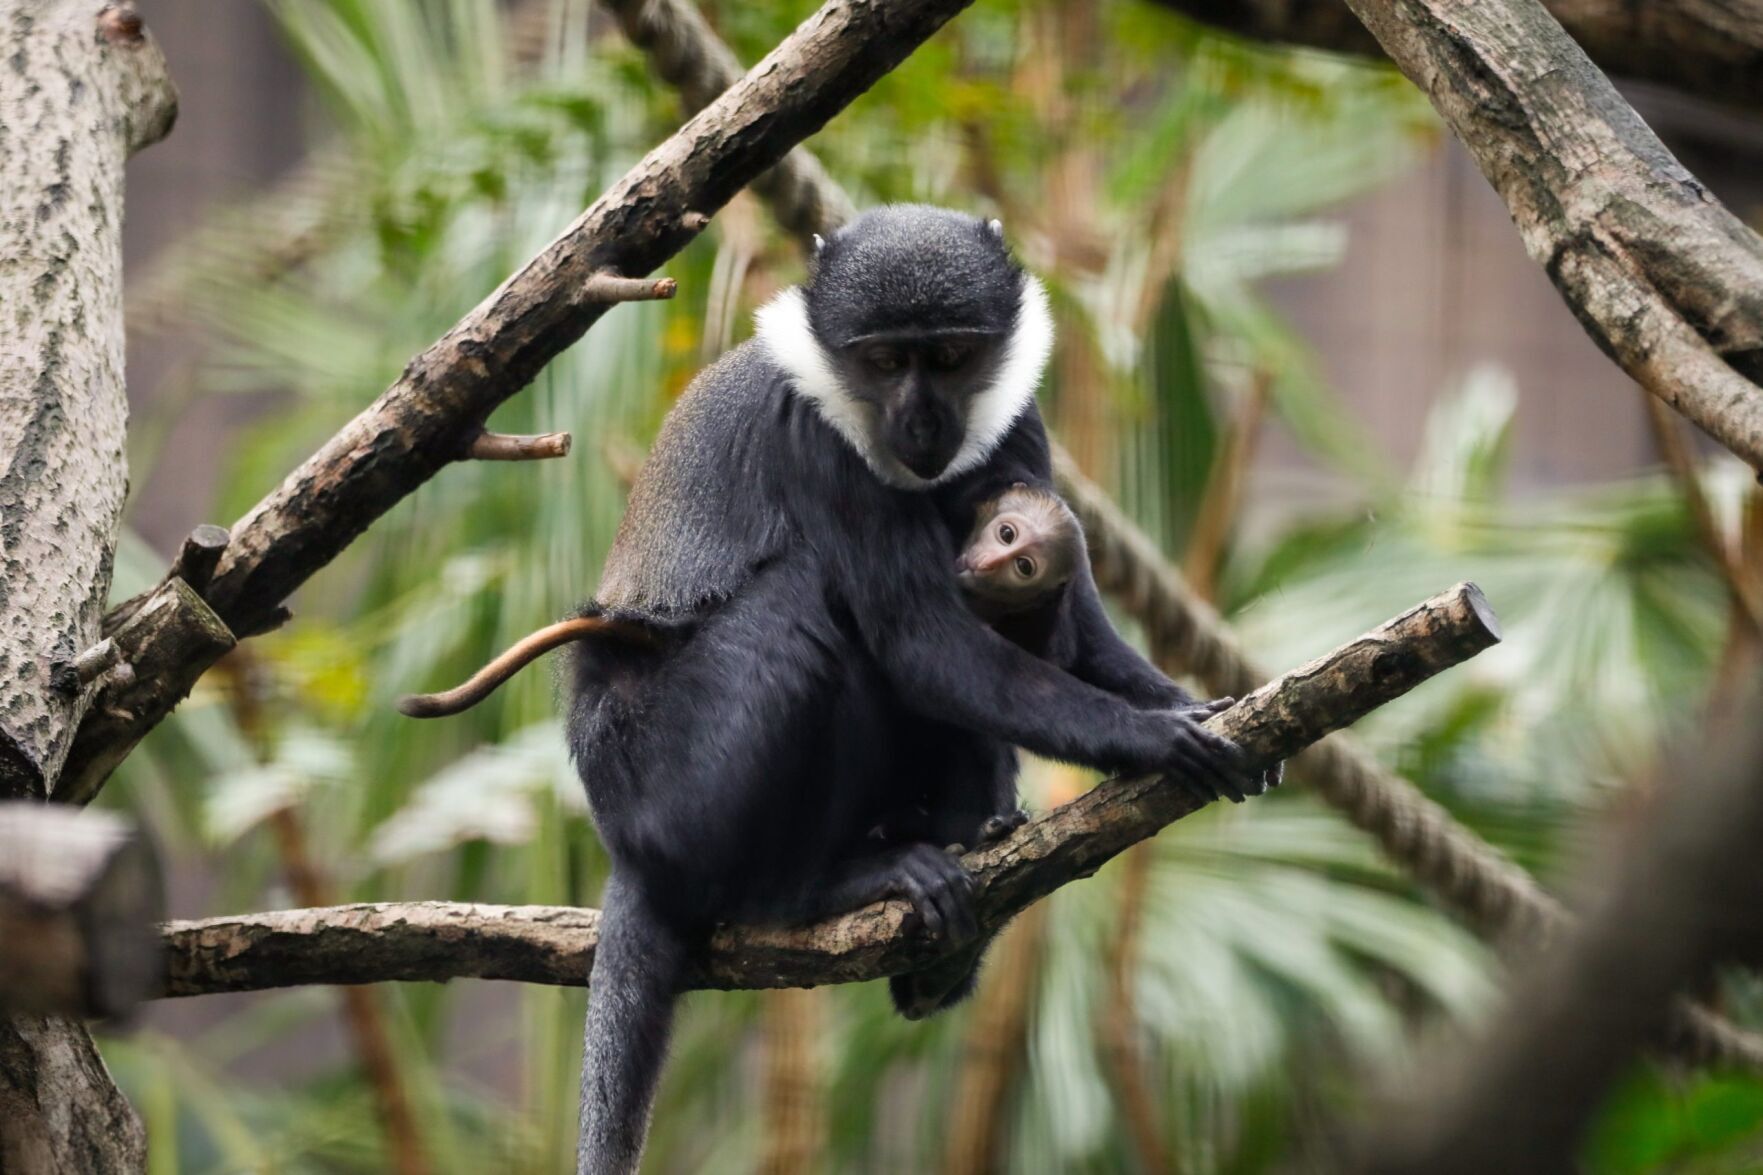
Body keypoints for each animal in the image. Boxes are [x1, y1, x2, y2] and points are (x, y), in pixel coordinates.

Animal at [566, 205, 1277, 1174]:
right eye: (882, 361)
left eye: (945, 356)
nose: (921, 420)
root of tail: (625, 847)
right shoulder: (814, 441)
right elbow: (920, 642)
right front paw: (1153, 738)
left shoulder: (1018, 426)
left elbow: (1078, 628)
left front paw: (1180, 702)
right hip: (662, 783)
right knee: (801, 606)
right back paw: (809, 890)